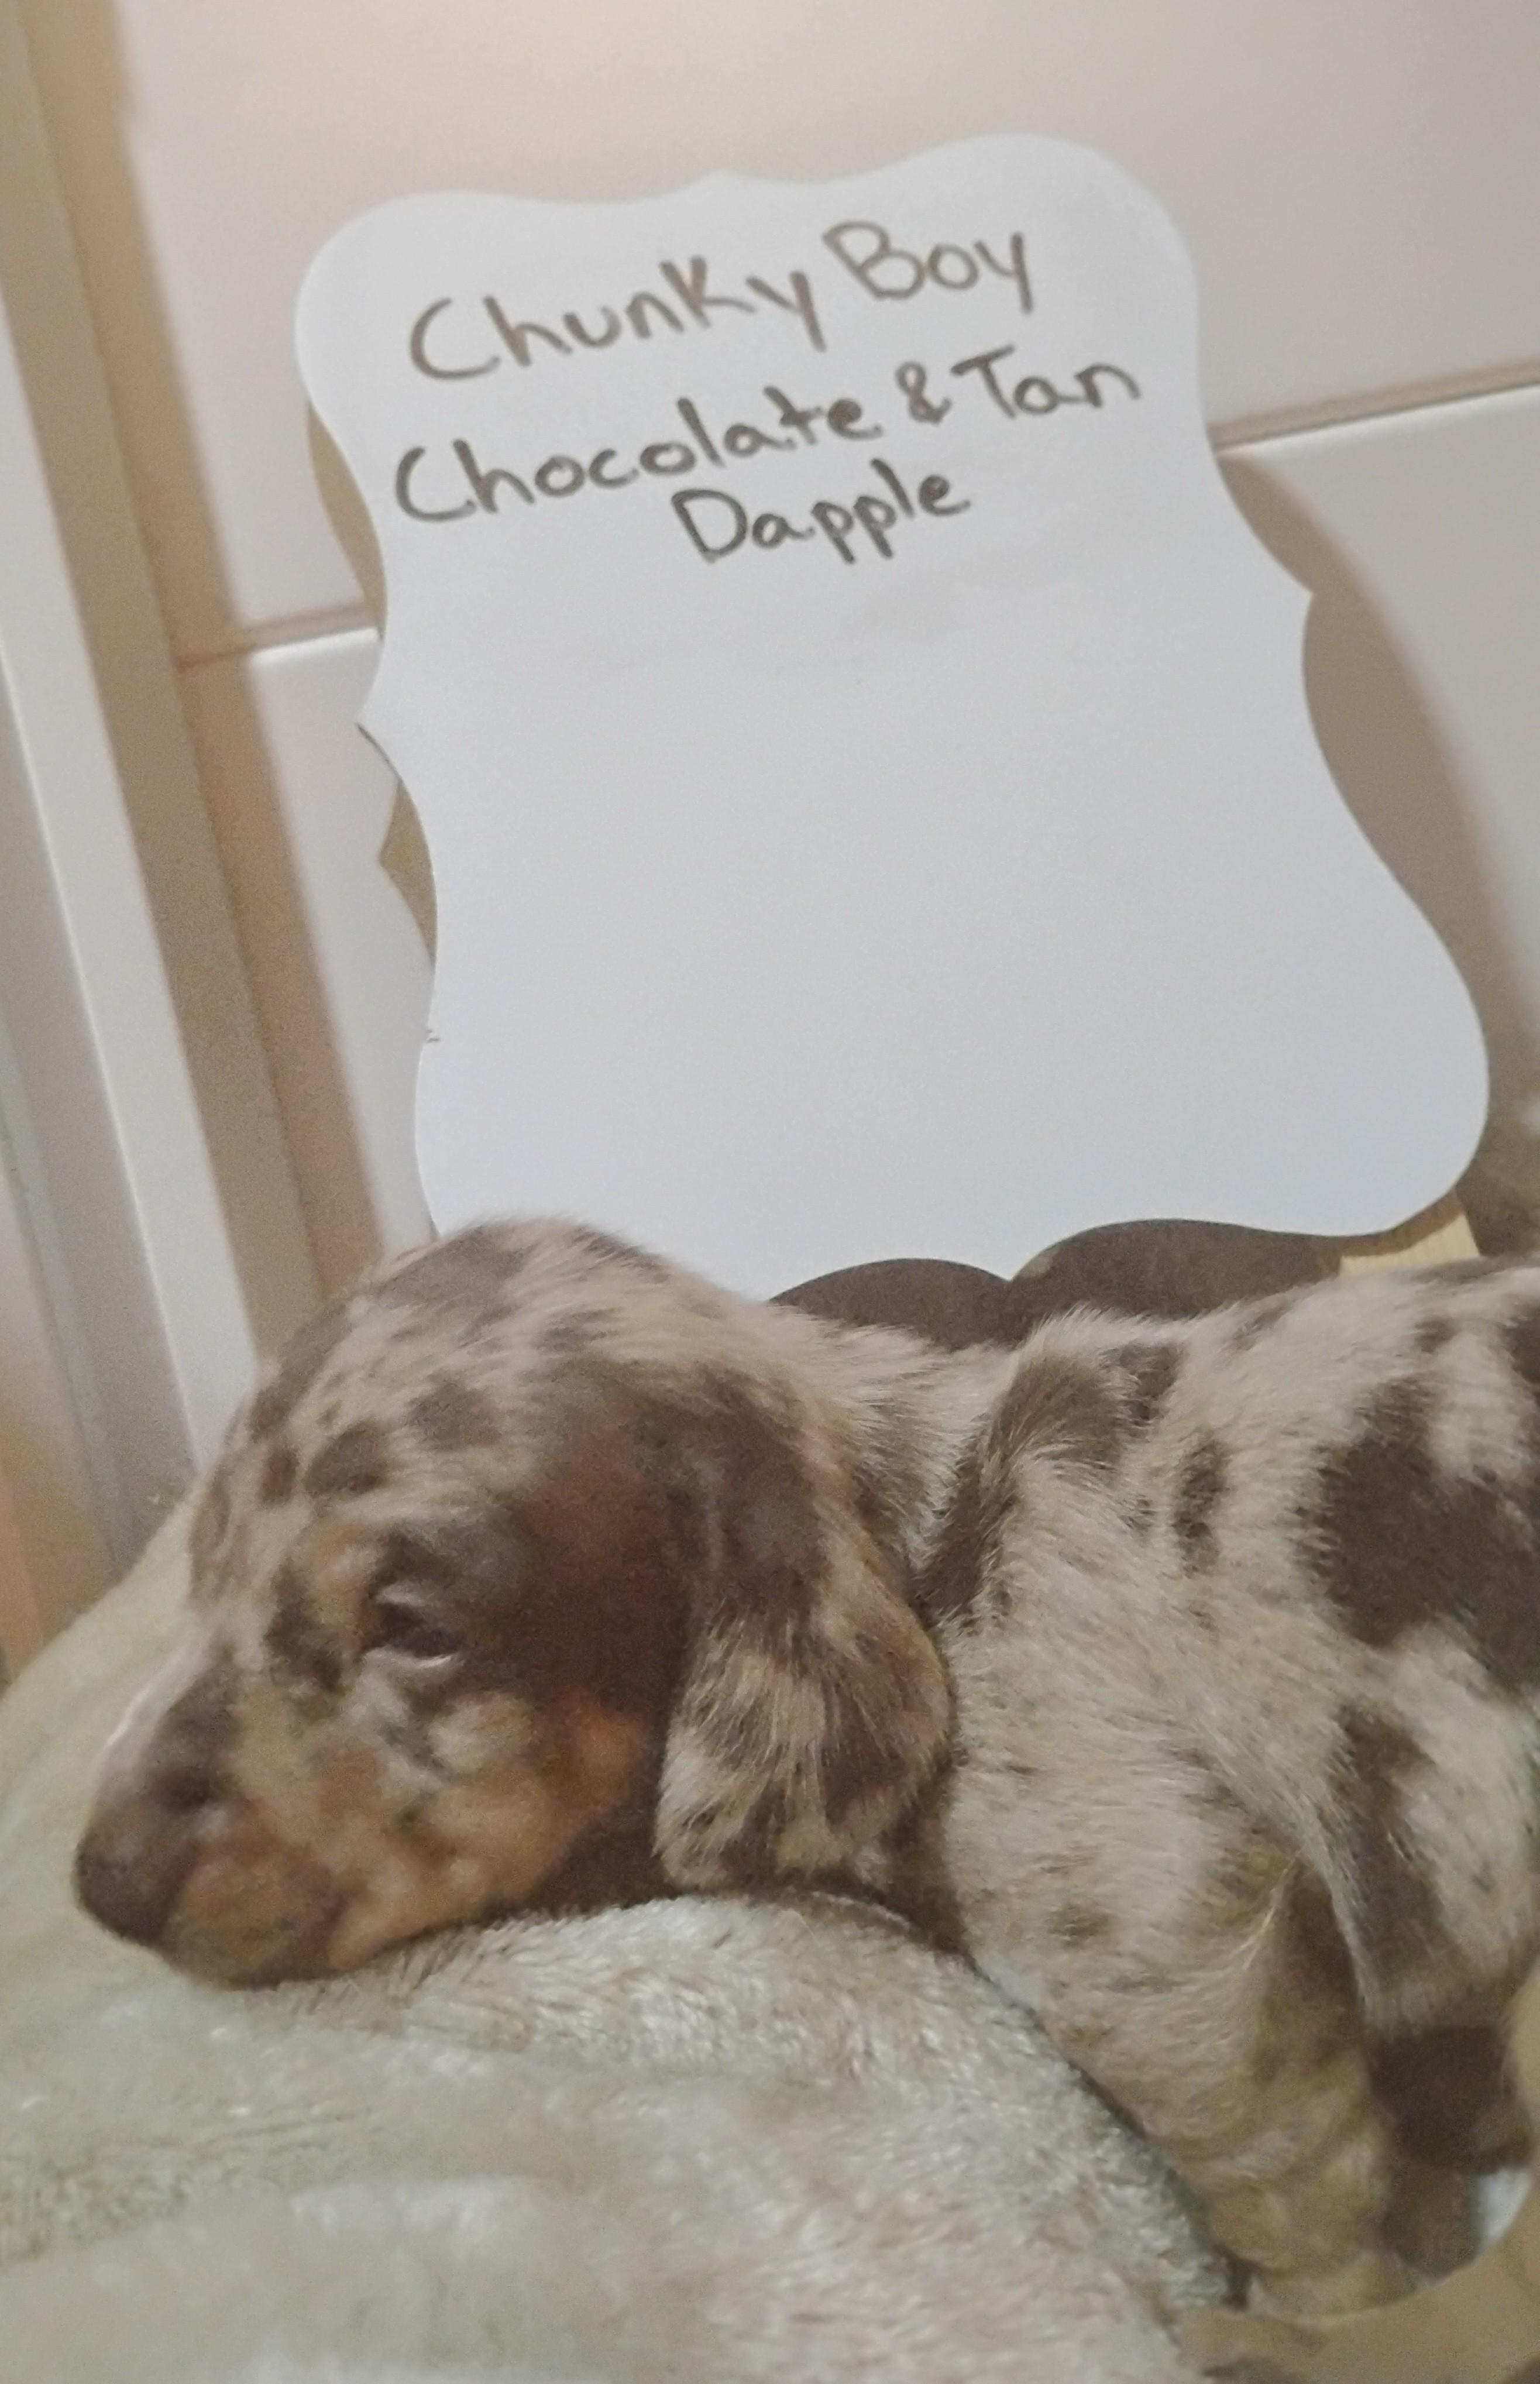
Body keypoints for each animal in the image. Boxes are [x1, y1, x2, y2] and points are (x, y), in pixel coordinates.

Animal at [74, 1219, 1540, 2374]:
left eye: (415, 1627)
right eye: (203, 1566)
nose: (101, 1884)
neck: (935, 1550)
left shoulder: (1158, 1938)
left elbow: (1292, 2184)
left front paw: (1312, 2305)